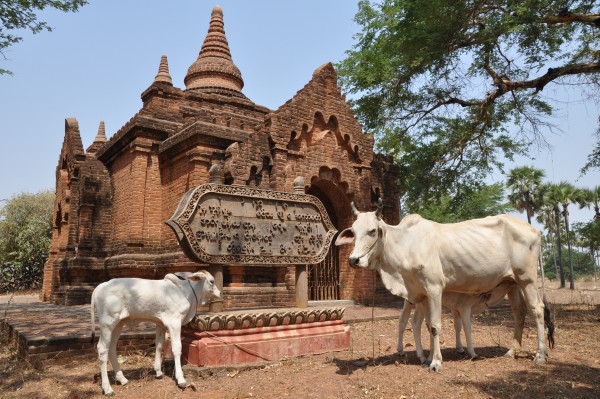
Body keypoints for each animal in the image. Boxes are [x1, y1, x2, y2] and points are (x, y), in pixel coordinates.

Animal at [89, 270, 220, 398]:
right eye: (212, 281)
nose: (219, 293)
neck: (185, 292)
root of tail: (99, 287)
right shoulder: (174, 322)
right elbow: (177, 348)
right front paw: (181, 379)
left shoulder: (160, 323)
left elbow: (159, 345)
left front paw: (158, 372)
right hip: (107, 324)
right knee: (102, 349)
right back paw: (107, 389)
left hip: (118, 324)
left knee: (111, 348)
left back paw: (122, 379)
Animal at [336, 202, 552, 374]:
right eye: (353, 231)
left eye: (372, 231)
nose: (353, 260)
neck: (406, 244)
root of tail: (535, 231)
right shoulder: (420, 295)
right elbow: (424, 325)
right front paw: (428, 357)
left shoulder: (434, 288)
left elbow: (435, 326)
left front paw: (436, 363)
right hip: (512, 283)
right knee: (519, 312)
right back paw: (511, 352)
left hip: (527, 278)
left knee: (537, 310)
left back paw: (540, 355)